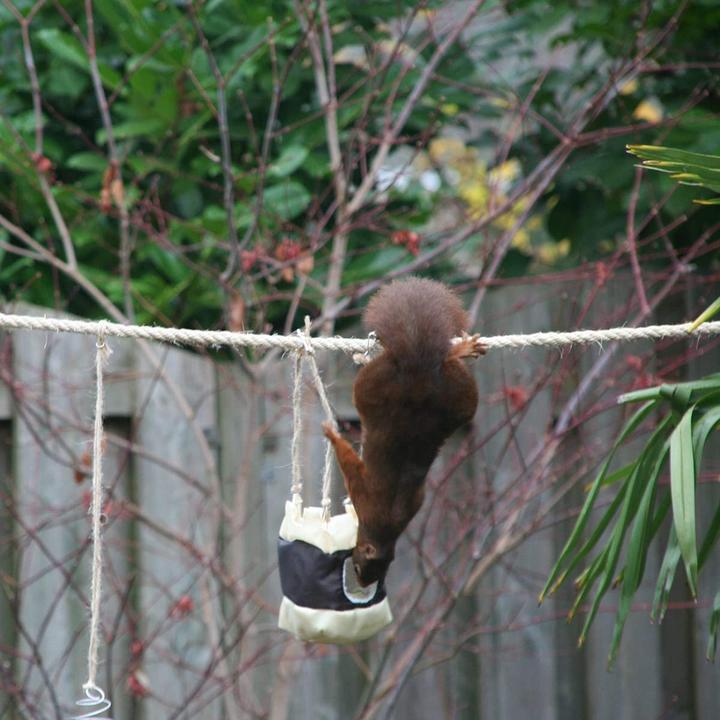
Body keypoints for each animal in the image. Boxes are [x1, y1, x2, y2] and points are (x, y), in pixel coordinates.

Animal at [323, 277, 485, 587]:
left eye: (359, 567)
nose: (362, 584)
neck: (385, 528)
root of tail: (417, 372)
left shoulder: (362, 493)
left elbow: (348, 462)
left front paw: (332, 434)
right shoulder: (408, 501)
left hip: (370, 386)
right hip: (462, 398)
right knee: (449, 363)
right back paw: (461, 350)